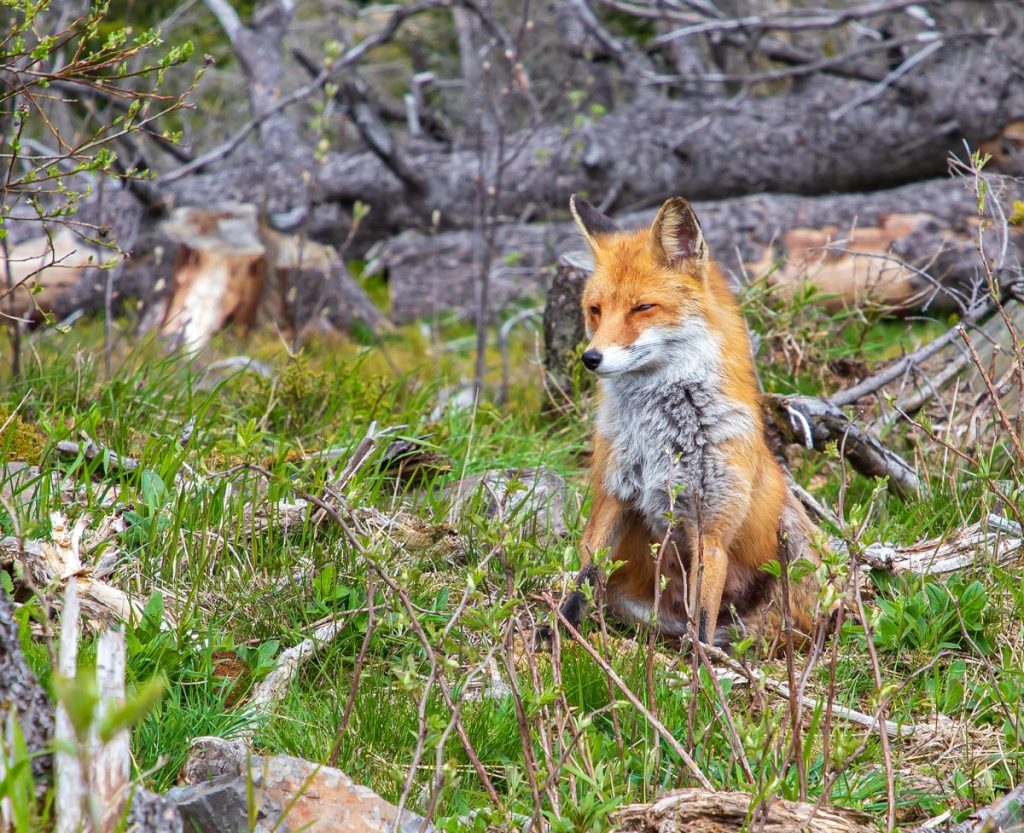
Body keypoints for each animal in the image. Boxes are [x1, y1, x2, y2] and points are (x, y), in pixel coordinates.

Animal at [561, 193, 823, 643]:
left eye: (642, 308)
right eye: (595, 310)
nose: (591, 358)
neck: (658, 431)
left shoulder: (711, 528)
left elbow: (700, 623)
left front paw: (699, 664)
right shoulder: (613, 495)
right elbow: (585, 578)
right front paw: (552, 633)